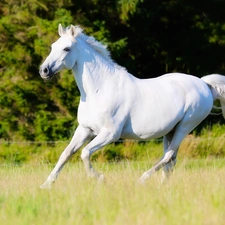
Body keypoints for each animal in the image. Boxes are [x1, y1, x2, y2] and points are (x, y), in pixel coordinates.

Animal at [39, 23, 225, 188]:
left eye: (66, 49)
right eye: (53, 46)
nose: (44, 70)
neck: (100, 89)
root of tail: (204, 84)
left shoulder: (110, 134)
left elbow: (85, 153)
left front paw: (100, 179)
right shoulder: (85, 129)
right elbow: (66, 154)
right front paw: (46, 185)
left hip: (185, 126)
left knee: (168, 156)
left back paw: (142, 180)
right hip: (170, 131)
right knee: (170, 160)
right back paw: (162, 187)